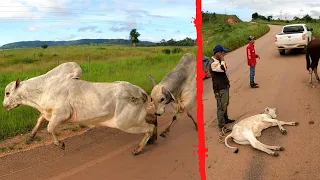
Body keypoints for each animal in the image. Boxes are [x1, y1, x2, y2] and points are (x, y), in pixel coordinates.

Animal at [2, 62, 158, 155]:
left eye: (7, 93)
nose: (4, 105)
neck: (44, 88)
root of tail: (141, 92)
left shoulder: (62, 114)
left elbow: (50, 129)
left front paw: (60, 144)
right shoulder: (47, 113)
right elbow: (40, 121)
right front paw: (31, 136)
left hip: (125, 123)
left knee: (149, 128)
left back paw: (138, 149)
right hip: (136, 118)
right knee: (153, 119)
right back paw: (153, 140)